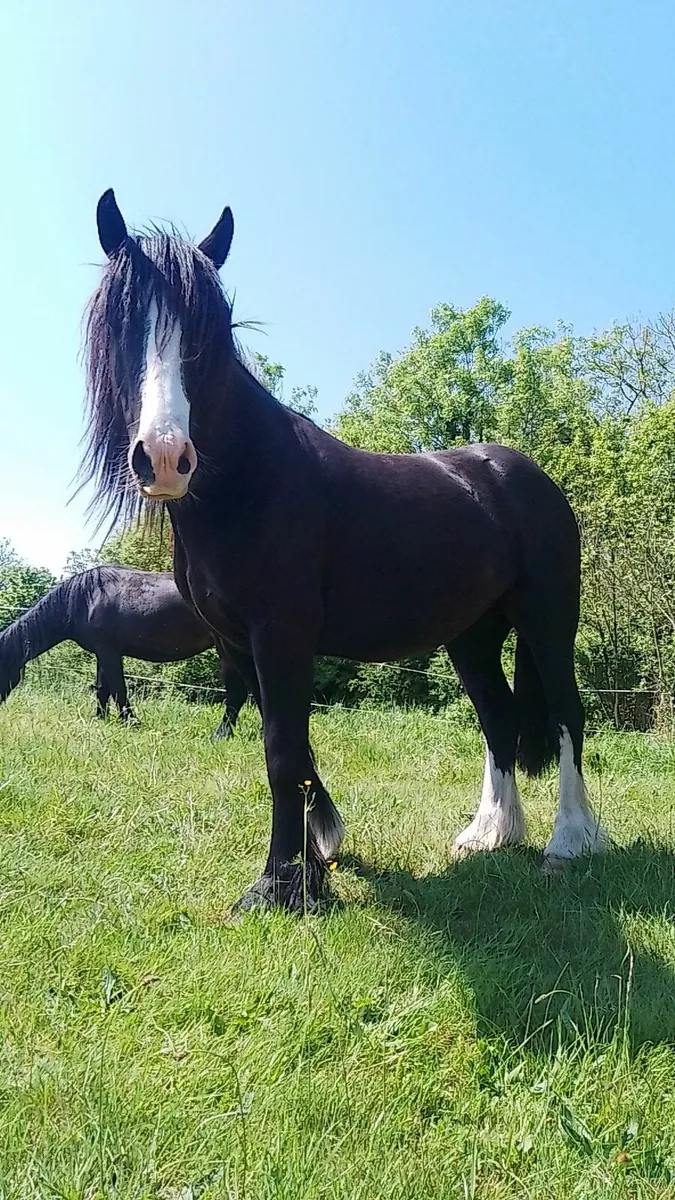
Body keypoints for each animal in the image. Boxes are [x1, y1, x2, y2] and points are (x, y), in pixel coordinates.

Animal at [0, 565, 250, 738]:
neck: (86, 599)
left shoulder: (110, 652)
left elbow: (118, 688)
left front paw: (129, 721)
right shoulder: (102, 653)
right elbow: (102, 689)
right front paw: (101, 719)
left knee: (236, 692)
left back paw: (220, 734)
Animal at [81, 188, 607, 913]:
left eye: (210, 328)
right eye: (121, 319)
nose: (164, 457)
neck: (251, 482)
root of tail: (522, 474)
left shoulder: (281, 634)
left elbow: (281, 751)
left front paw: (278, 885)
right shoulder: (245, 643)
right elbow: (293, 750)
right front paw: (317, 857)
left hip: (548, 619)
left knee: (565, 714)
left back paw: (569, 840)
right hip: (471, 636)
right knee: (499, 720)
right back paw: (490, 833)